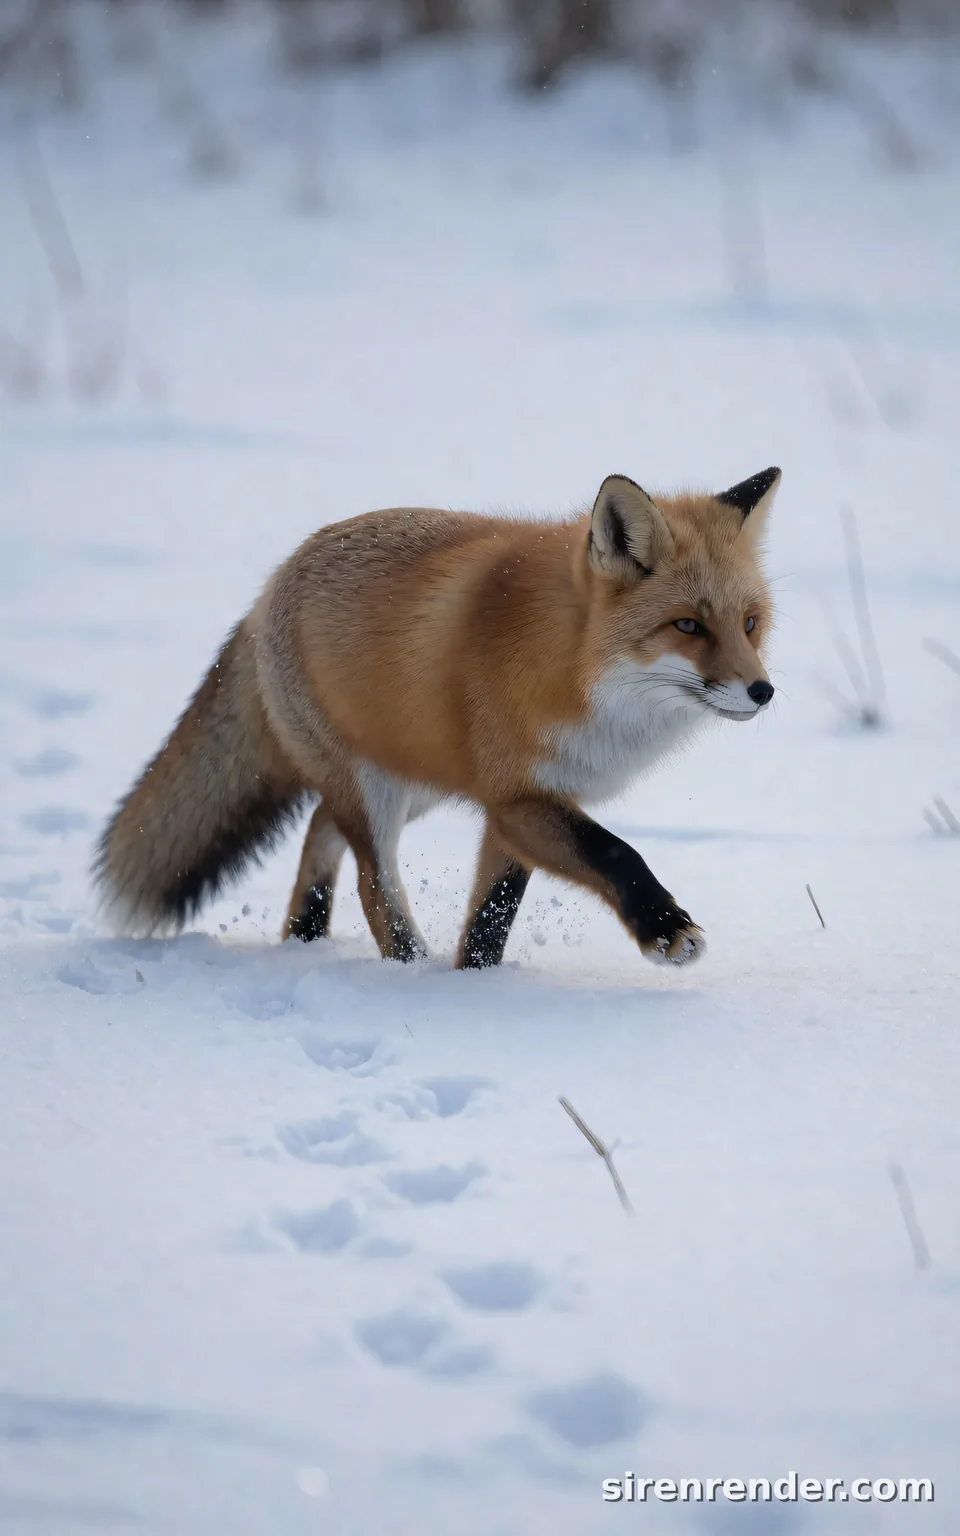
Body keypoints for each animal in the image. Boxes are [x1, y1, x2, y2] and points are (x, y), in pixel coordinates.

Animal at [95, 466, 780, 970]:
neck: (575, 668)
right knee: (372, 884)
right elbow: (615, 851)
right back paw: (407, 967)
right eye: (687, 626)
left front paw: (476, 980)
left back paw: (306, 935)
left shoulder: (523, 804)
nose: (763, 691)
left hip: (417, 777)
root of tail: (269, 589)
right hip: (377, 789)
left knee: (320, 825)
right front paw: (665, 928)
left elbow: (492, 914)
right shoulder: (516, 798)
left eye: (750, 624)